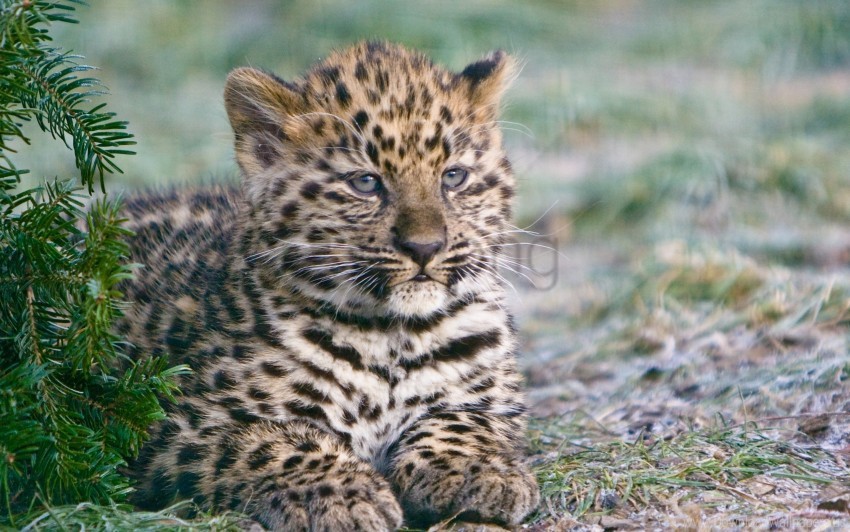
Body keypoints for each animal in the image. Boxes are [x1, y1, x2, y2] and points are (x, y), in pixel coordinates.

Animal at [119, 41, 539, 530]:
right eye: (366, 183)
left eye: (453, 176)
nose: (425, 247)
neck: (392, 337)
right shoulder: (175, 423)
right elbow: (273, 441)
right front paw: (342, 494)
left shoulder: (490, 400)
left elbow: (462, 421)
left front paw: (474, 470)